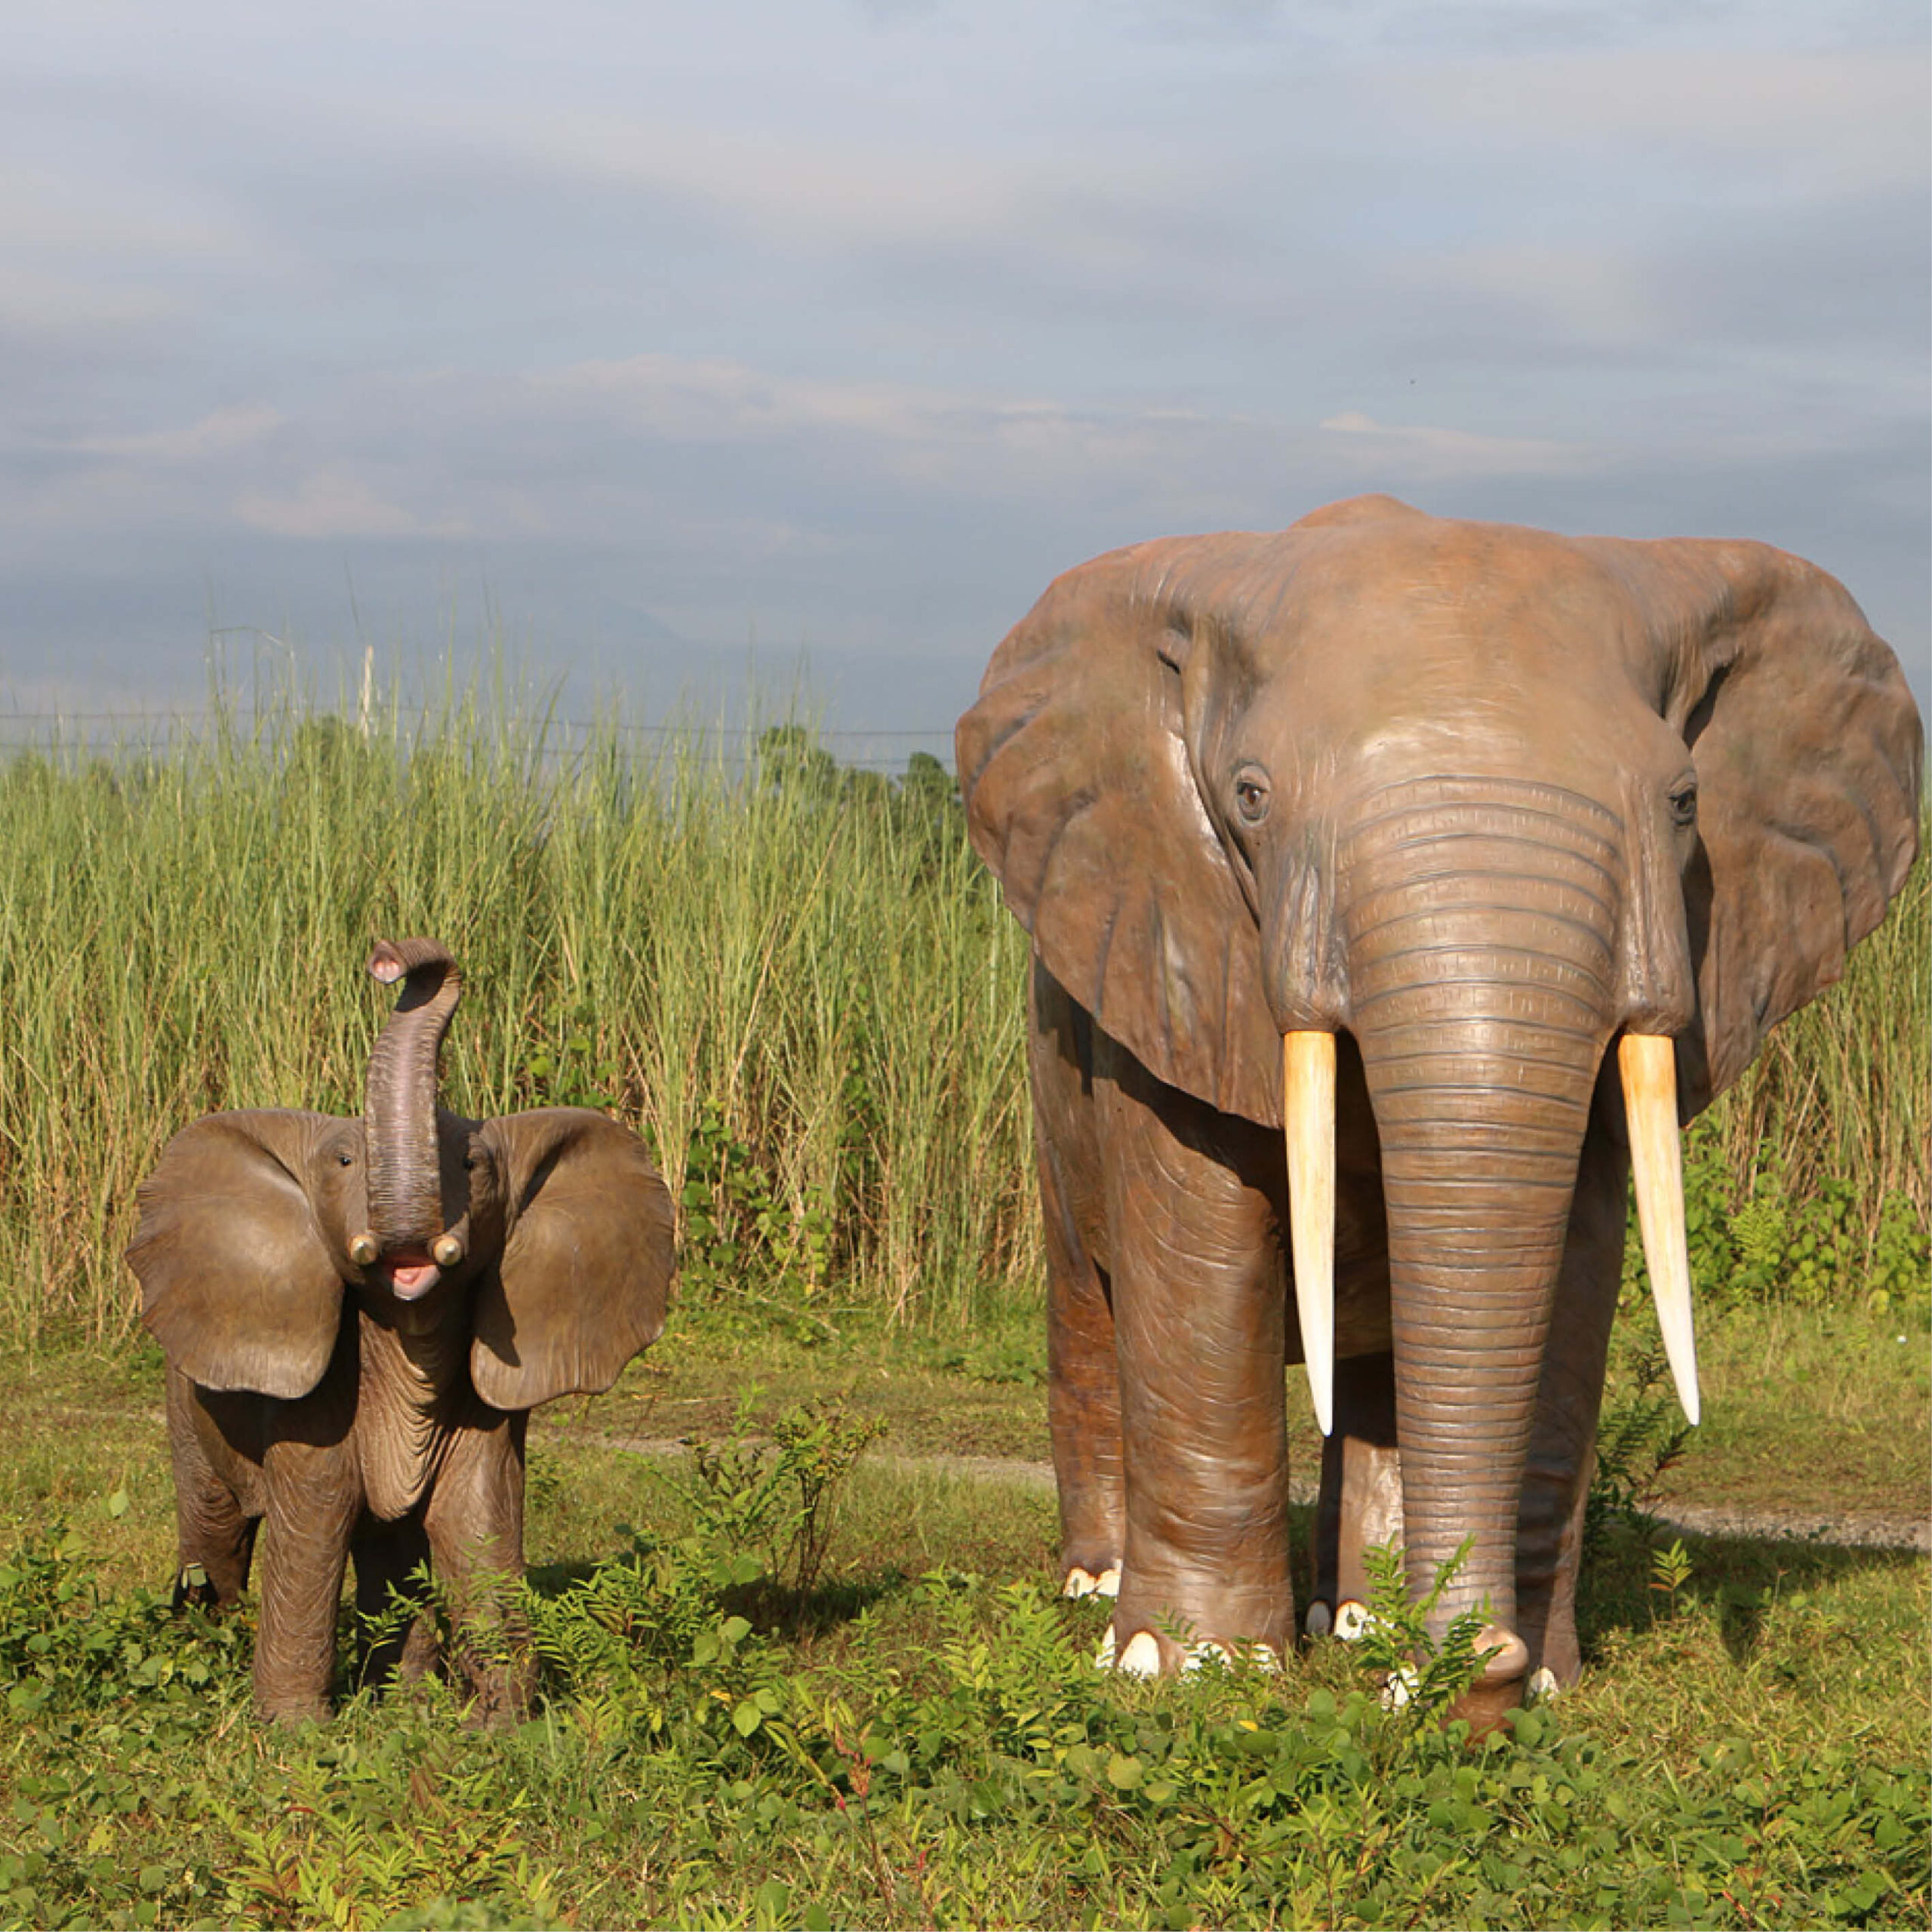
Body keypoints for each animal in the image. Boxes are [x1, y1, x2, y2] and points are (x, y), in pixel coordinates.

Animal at [126, 937, 675, 1724]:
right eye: (343, 1162)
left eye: (474, 1165)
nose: (388, 959)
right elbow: (313, 1523)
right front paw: (295, 1734)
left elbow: (477, 1520)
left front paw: (501, 1728)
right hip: (184, 1399)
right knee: (217, 1533)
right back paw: (202, 1648)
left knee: (390, 1550)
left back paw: (406, 1703)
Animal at [954, 494, 1921, 1725]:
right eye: (1251, 798)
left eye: (1684, 803)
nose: (1471, 1674)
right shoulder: (1168, 951)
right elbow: (1199, 1257)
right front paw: (1188, 1672)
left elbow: (1569, 1280)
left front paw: (1533, 1679)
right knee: (1091, 1302)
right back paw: (1096, 1589)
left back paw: (1358, 1619)